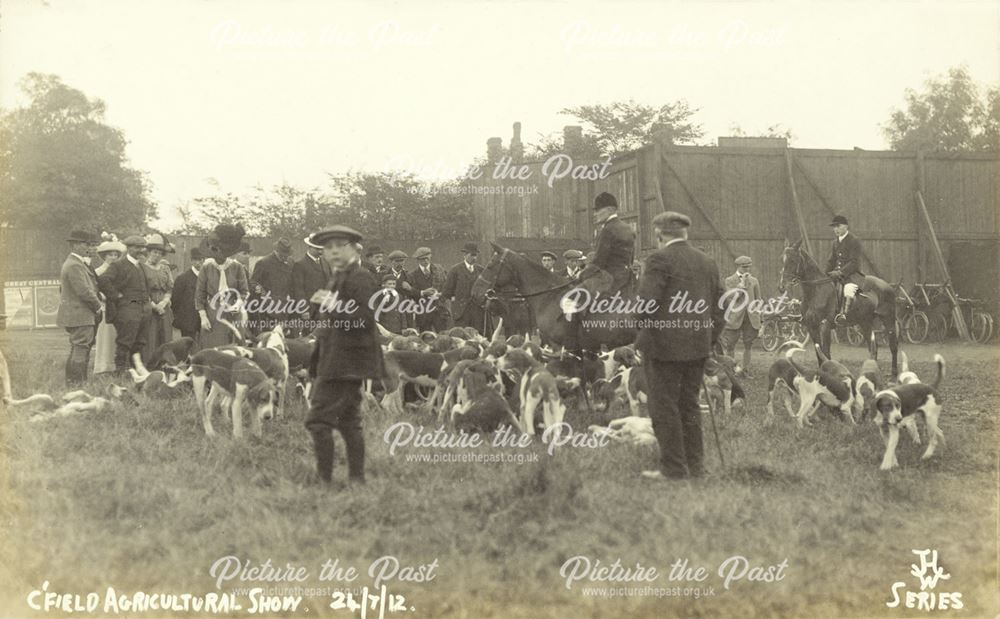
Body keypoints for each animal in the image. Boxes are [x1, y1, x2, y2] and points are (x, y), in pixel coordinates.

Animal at [776, 241, 904, 378]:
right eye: (782, 259)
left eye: (793, 260)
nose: (781, 286)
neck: (817, 290)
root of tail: (887, 285)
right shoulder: (812, 327)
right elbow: (818, 352)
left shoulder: (825, 326)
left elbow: (825, 353)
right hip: (865, 322)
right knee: (873, 348)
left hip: (888, 319)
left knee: (893, 346)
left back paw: (894, 373)